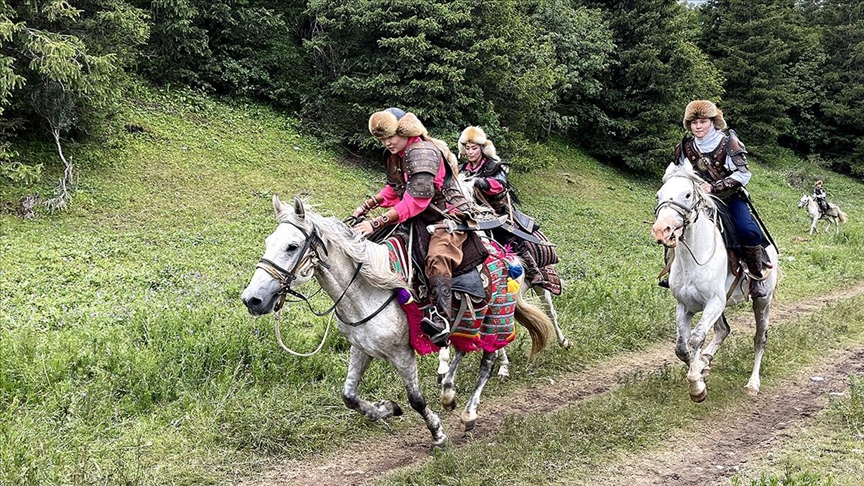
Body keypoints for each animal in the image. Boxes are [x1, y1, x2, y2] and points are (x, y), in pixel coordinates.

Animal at [241, 196, 552, 442]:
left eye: (292, 246)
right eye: (269, 242)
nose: (252, 299)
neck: (366, 289)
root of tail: (506, 254)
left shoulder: (401, 354)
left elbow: (416, 399)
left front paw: (437, 433)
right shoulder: (361, 348)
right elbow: (349, 395)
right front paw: (387, 409)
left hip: (494, 318)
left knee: (487, 360)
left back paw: (469, 413)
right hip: (467, 322)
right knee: (463, 350)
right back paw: (448, 392)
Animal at [652, 163, 780, 402]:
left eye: (687, 194)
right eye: (659, 195)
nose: (661, 230)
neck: (693, 259)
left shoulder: (713, 302)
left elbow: (695, 339)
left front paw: (697, 387)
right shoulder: (685, 306)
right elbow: (681, 347)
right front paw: (701, 367)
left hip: (762, 302)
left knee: (760, 338)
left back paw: (753, 384)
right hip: (721, 304)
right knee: (723, 330)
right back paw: (707, 359)